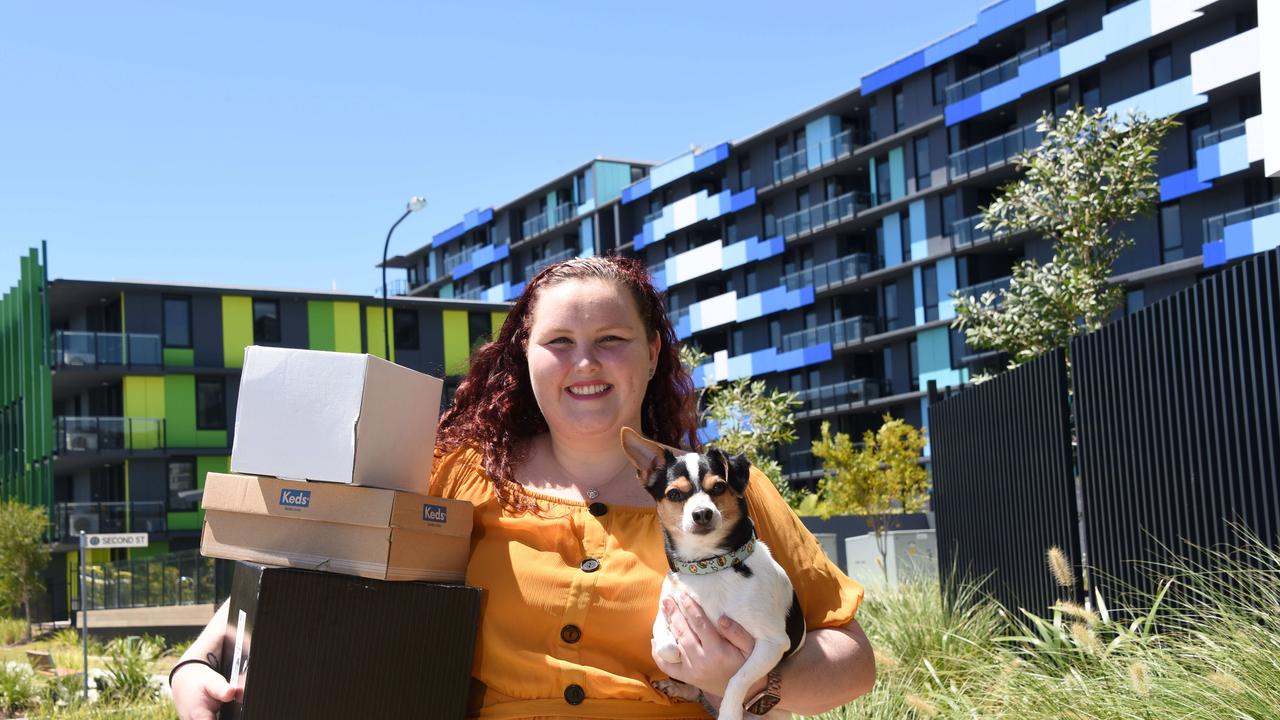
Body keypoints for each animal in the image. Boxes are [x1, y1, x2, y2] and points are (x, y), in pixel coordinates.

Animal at [616, 425, 798, 717]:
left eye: (719, 487)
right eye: (674, 494)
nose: (702, 513)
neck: (709, 567)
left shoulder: (773, 643)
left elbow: (737, 678)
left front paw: (729, 712)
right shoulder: (665, 609)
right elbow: (665, 645)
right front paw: (676, 654)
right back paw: (679, 687)